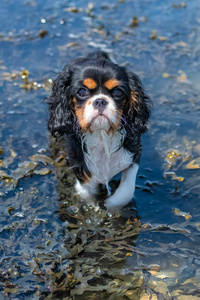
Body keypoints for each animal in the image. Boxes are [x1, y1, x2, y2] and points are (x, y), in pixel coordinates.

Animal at [48, 51, 152, 209]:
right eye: (82, 91)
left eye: (118, 92)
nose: (100, 101)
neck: (101, 134)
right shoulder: (82, 171)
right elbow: (87, 195)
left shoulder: (134, 153)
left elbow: (126, 191)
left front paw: (110, 205)